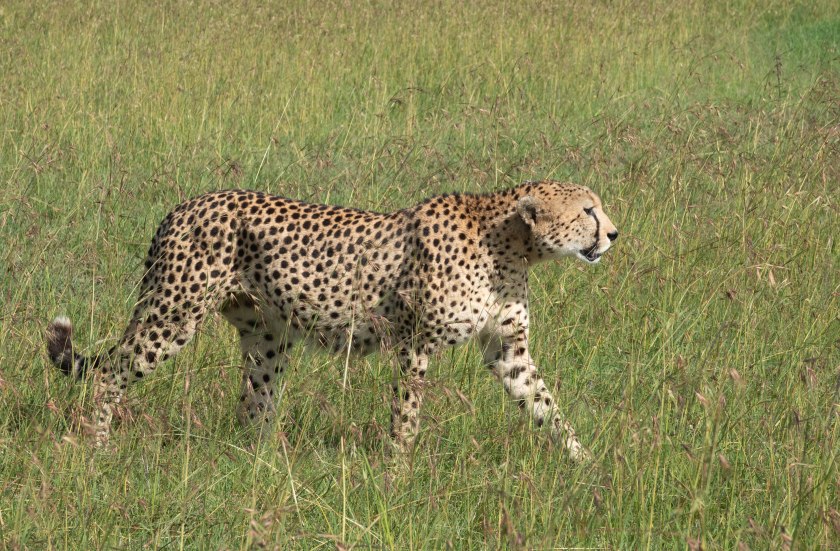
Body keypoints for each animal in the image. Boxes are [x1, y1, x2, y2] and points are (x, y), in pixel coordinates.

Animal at [46, 179, 618, 461]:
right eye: (588, 211)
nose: (613, 234)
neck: (513, 245)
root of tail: (182, 206)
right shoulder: (415, 342)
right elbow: (407, 413)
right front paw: (397, 471)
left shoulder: (508, 350)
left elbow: (546, 406)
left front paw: (586, 463)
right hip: (174, 314)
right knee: (110, 371)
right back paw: (96, 443)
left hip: (266, 337)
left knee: (254, 403)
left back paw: (261, 463)